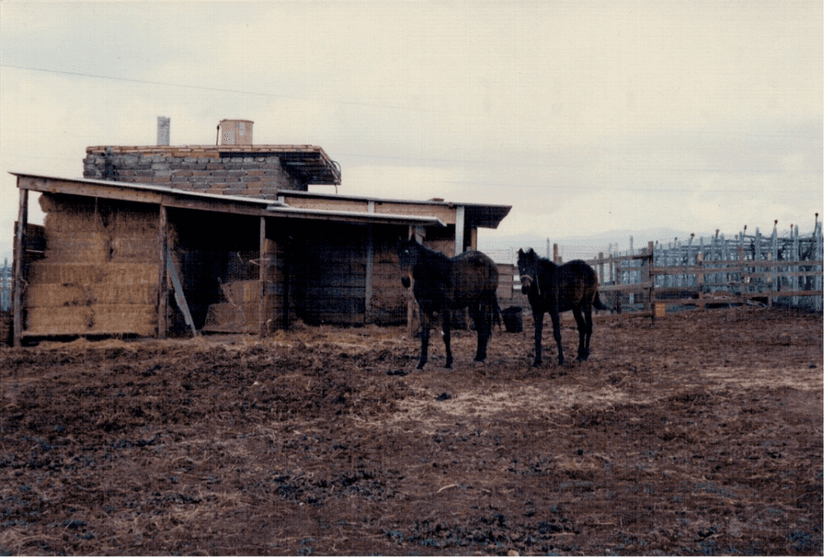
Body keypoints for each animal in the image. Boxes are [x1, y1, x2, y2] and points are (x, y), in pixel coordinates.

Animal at [400, 237, 498, 372]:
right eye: (399, 255)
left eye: (413, 254)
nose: (406, 280)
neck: (433, 276)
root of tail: (491, 262)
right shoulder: (424, 309)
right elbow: (425, 336)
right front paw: (421, 364)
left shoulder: (444, 308)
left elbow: (446, 335)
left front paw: (448, 363)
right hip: (473, 303)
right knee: (479, 327)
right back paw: (478, 356)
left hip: (485, 300)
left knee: (484, 326)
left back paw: (482, 357)